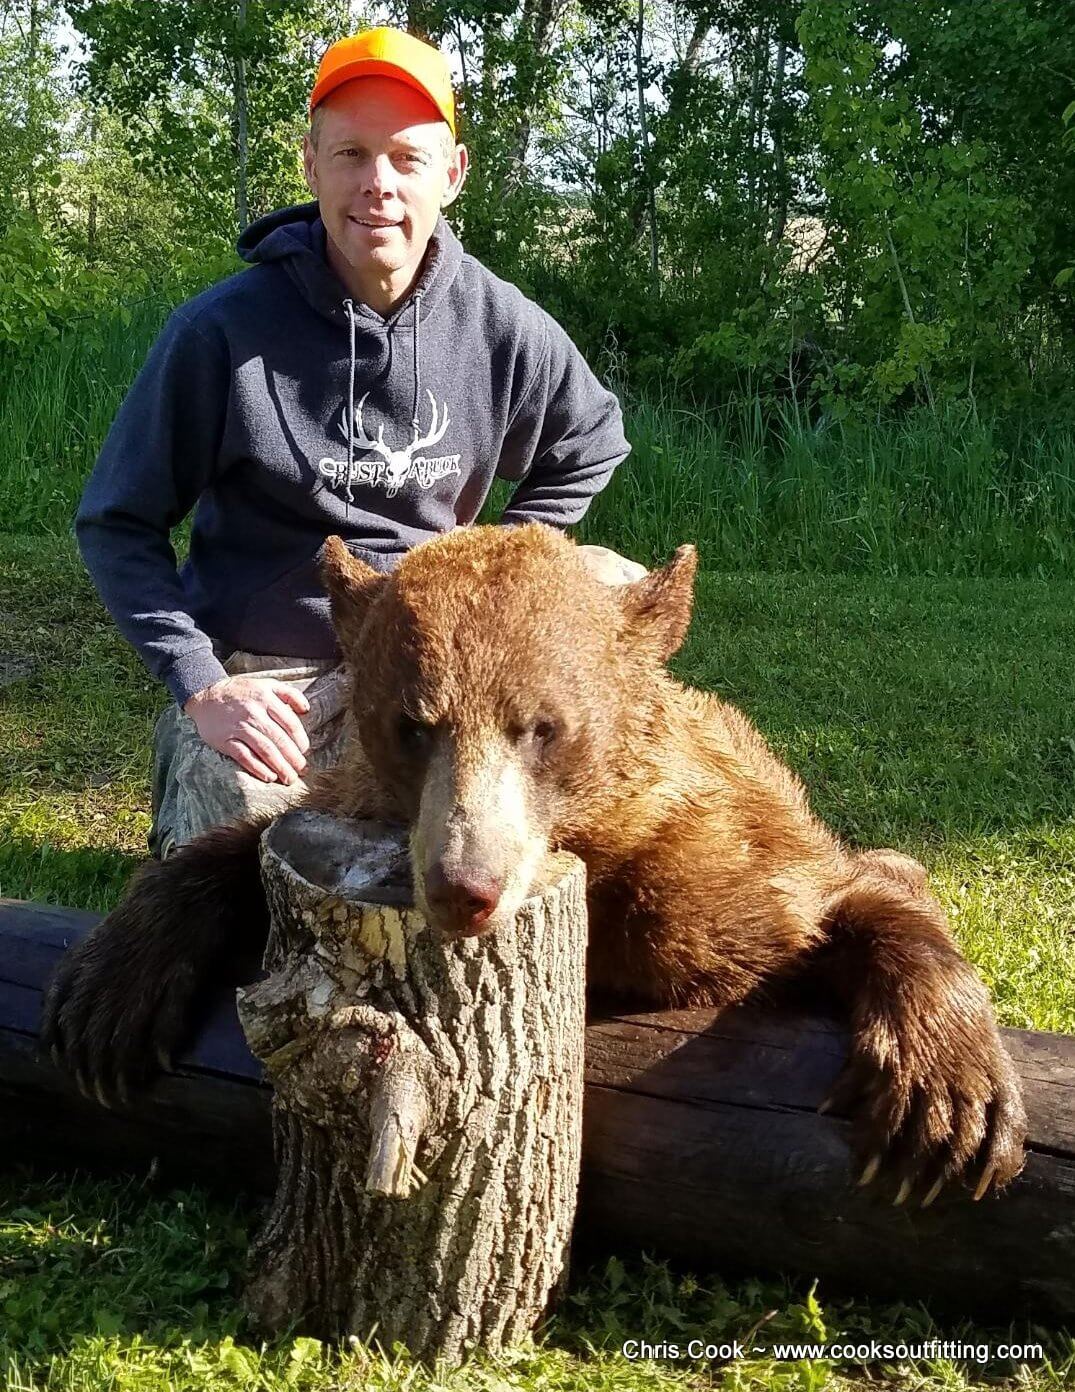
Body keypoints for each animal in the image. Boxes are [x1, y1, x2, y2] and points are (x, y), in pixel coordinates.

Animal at [42, 523, 1026, 1205]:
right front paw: (105, 999)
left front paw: (948, 1103)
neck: (592, 854)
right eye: (414, 723)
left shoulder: (714, 868)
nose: (464, 886)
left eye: (541, 725)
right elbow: (240, 844)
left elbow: (852, 893)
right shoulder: (357, 802)